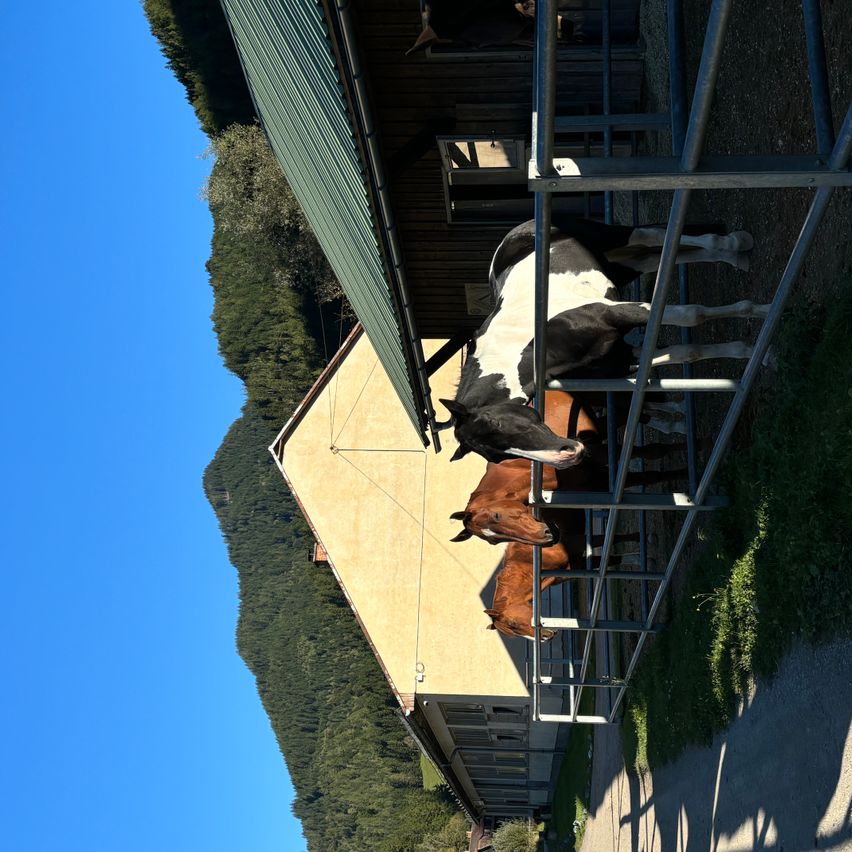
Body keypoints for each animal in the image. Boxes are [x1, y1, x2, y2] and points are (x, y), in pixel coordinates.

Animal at [439, 217, 765, 468]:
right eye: (499, 456)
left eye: (495, 424)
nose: (568, 456)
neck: (523, 342)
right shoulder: (614, 359)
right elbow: (684, 352)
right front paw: (749, 351)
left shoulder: (614, 313)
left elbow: (692, 315)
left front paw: (760, 336)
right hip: (620, 265)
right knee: (652, 255)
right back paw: (738, 256)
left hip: (608, 238)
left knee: (652, 235)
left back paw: (736, 244)